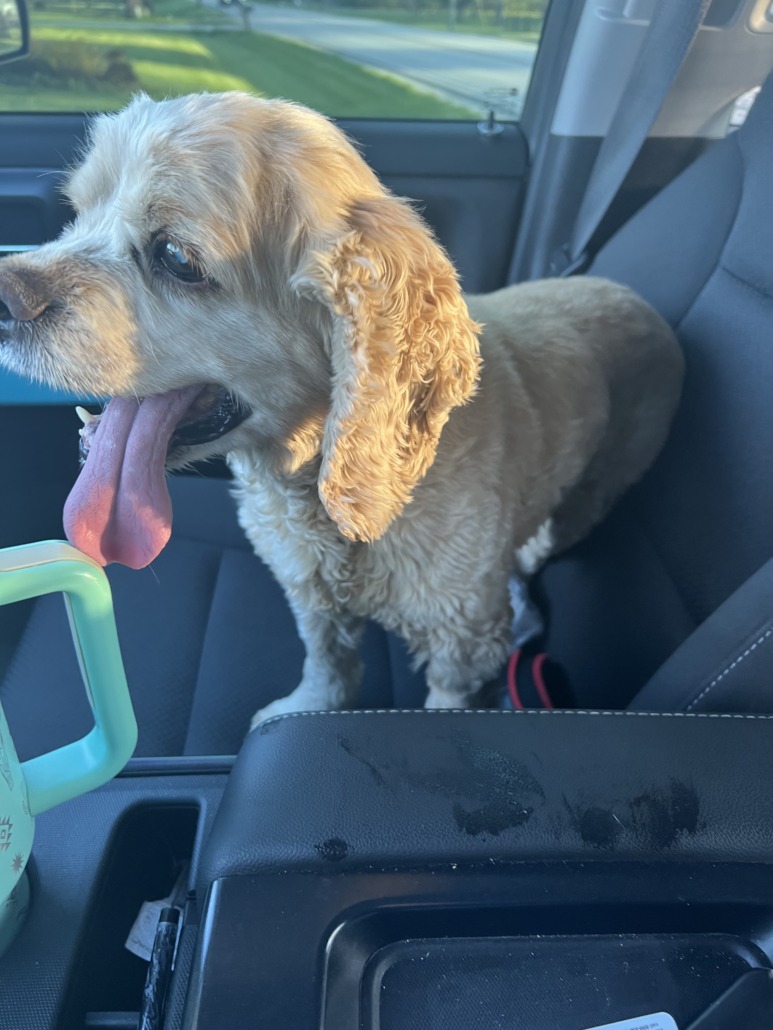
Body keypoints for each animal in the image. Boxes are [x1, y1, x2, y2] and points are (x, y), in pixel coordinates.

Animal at [0, 92, 684, 725]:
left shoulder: (464, 641)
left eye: (176, 257)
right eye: (77, 212)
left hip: (608, 476)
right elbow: (327, 660)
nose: (5, 292)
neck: (316, 489)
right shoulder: (308, 588)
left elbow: (447, 702)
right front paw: (308, 707)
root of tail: (635, 296)